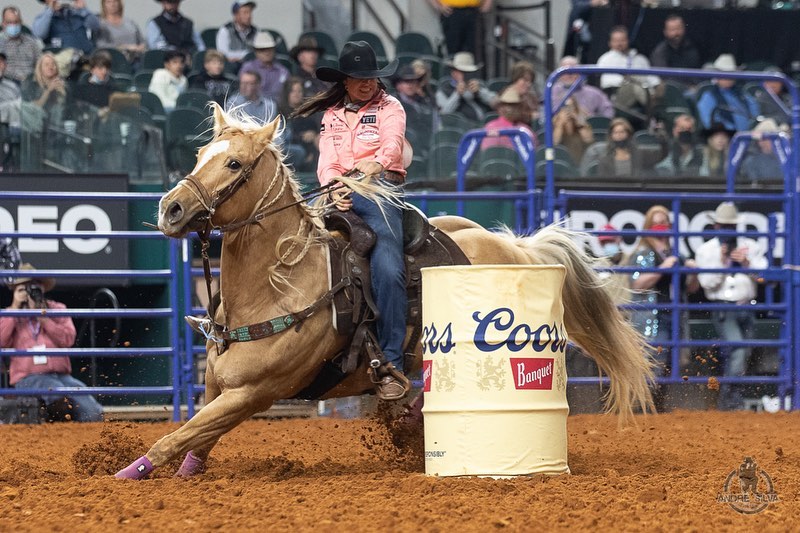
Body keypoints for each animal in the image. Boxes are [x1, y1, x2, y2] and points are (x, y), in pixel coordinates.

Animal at [115, 106, 652, 480]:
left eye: (233, 163)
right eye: (198, 157)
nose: (170, 209)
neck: (279, 286)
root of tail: (513, 245)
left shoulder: (256, 393)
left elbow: (179, 436)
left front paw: (124, 473)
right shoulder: (216, 384)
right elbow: (196, 438)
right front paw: (181, 471)